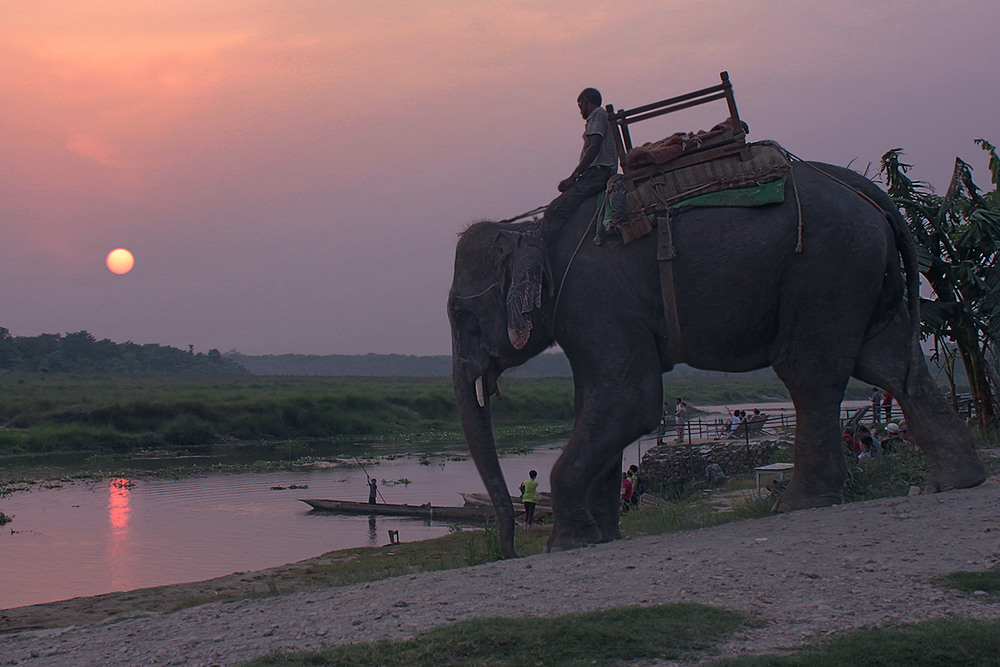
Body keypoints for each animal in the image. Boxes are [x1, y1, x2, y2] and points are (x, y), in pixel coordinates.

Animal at [450, 162, 988, 560]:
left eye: (460, 313)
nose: (509, 550)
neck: (534, 231)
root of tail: (868, 192)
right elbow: (598, 404)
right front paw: (600, 537)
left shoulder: (595, 302)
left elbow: (630, 401)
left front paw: (566, 545)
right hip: (859, 273)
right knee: (889, 365)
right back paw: (954, 483)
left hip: (824, 268)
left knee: (810, 375)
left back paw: (797, 504)